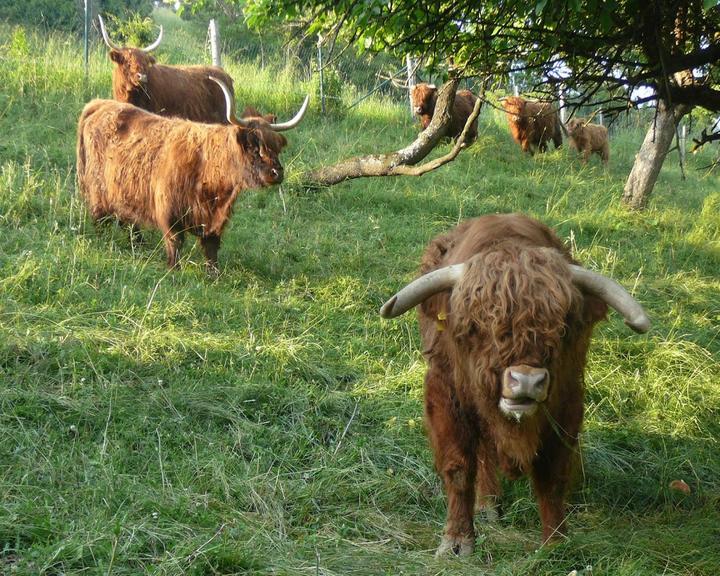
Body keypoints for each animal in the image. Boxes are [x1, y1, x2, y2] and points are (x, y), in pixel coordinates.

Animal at [77, 78, 308, 274]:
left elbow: (211, 248)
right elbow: (175, 243)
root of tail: (99, 104)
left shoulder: (216, 220)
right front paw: (174, 270)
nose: (277, 173)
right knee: (100, 220)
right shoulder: (169, 212)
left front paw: (214, 275)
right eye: (253, 146)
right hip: (98, 193)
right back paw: (104, 242)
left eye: (276, 147)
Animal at [380, 214, 648, 556]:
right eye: (476, 325)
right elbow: (459, 467)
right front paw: (457, 541)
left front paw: (555, 542)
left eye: (563, 326)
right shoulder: (446, 395)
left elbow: (552, 474)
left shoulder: (567, 401)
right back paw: (487, 504)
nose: (526, 380)